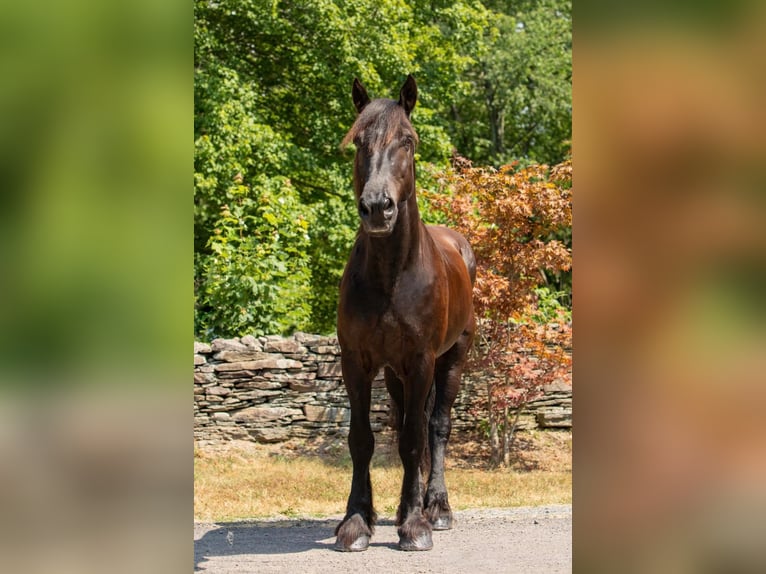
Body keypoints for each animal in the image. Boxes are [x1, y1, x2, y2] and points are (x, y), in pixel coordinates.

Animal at [334, 75, 476, 552]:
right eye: (358, 141)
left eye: (408, 141)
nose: (378, 207)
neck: (392, 276)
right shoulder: (356, 362)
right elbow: (363, 438)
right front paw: (357, 521)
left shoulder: (421, 362)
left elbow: (416, 438)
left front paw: (415, 525)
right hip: (394, 373)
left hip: (452, 361)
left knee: (437, 426)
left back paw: (437, 509)